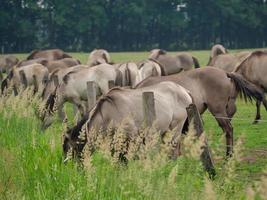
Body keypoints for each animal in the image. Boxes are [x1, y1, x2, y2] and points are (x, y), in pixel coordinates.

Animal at [62, 81, 194, 161]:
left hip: (175, 130)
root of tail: (184, 90)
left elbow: (124, 158)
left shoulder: (130, 137)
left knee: (174, 151)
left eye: (69, 147)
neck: (107, 112)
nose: (68, 165)